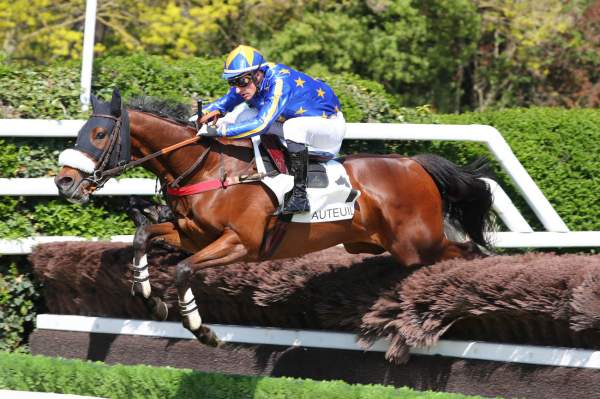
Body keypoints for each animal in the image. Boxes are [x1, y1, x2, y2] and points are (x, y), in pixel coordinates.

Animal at [54, 90, 492, 346]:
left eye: (97, 135)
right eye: (81, 131)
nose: (64, 181)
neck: (209, 168)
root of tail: (415, 164)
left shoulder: (240, 243)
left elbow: (183, 271)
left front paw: (201, 329)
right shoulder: (191, 234)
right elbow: (143, 235)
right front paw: (148, 296)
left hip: (418, 244)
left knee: (468, 252)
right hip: (380, 244)